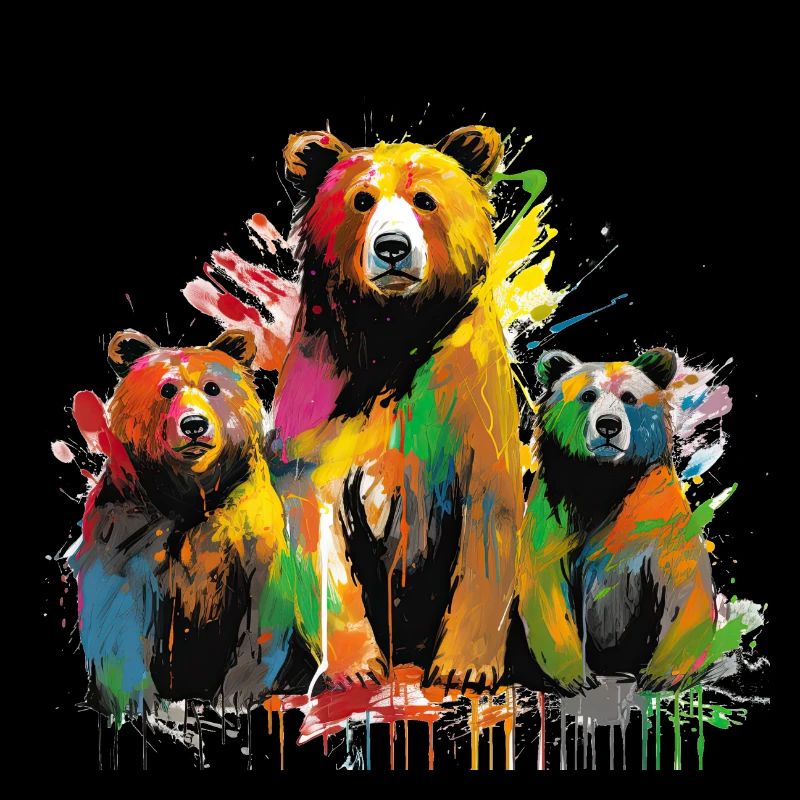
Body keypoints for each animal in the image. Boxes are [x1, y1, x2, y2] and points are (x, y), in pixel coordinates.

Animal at [67, 329, 320, 720]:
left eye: (212, 387)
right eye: (167, 389)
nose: (194, 425)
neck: (190, 490)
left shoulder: (247, 530)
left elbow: (260, 616)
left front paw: (234, 697)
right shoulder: (128, 525)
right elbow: (118, 611)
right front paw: (141, 704)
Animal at [271, 125, 521, 692]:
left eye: (425, 199)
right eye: (361, 200)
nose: (392, 248)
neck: (393, 333)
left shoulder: (469, 393)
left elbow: (487, 519)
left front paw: (464, 668)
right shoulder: (321, 394)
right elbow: (317, 524)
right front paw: (357, 669)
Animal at [515, 347, 719, 695]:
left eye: (629, 397)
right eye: (587, 395)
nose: (608, 425)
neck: (605, 480)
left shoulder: (657, 513)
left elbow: (685, 583)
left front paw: (660, 675)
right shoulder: (556, 511)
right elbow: (546, 586)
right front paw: (577, 678)